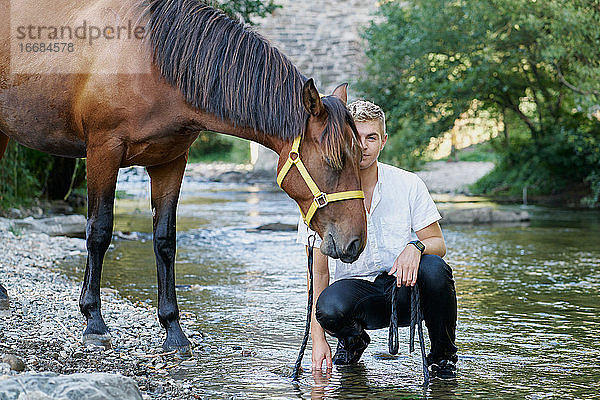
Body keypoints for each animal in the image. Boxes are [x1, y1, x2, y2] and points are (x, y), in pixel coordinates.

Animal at [0, 0, 366, 352]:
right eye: (334, 161)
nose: (355, 242)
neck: (153, 62)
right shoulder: (103, 150)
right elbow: (99, 231)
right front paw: (94, 323)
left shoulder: (171, 162)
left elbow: (164, 240)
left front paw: (174, 331)